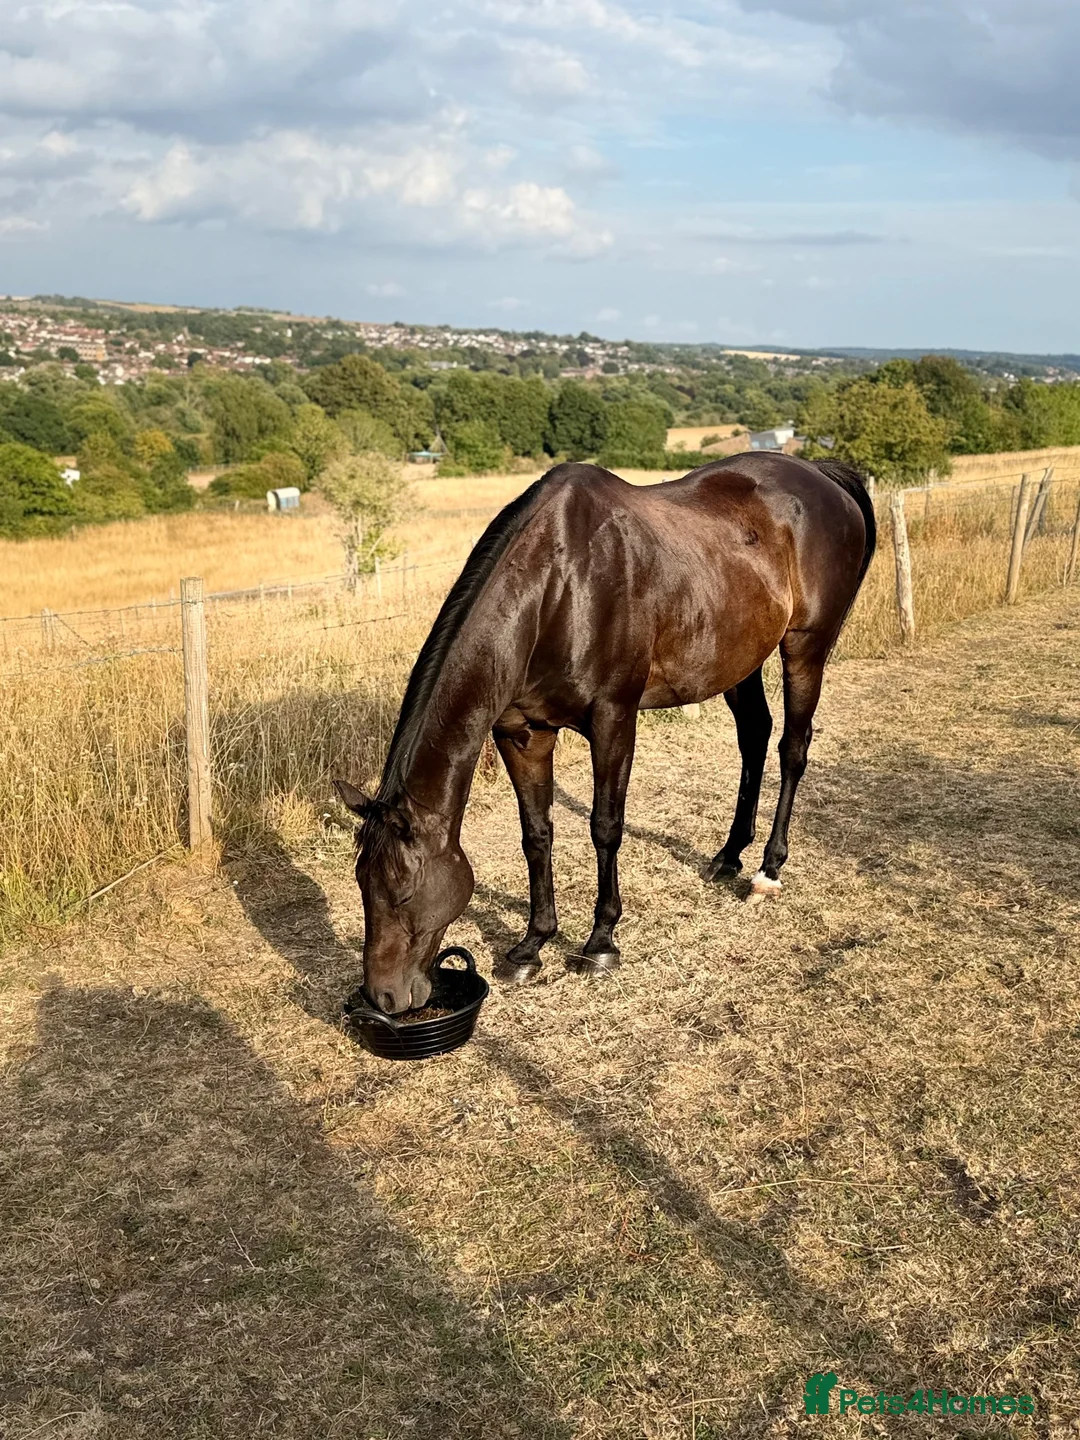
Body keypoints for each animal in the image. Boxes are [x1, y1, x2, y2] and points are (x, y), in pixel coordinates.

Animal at [334, 452, 876, 1015]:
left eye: (401, 893)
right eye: (360, 885)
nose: (383, 996)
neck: (559, 590)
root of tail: (819, 474)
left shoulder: (614, 719)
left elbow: (605, 826)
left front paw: (600, 943)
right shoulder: (522, 733)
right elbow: (536, 834)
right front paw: (532, 944)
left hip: (805, 647)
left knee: (793, 748)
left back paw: (768, 870)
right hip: (740, 657)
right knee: (754, 736)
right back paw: (728, 856)